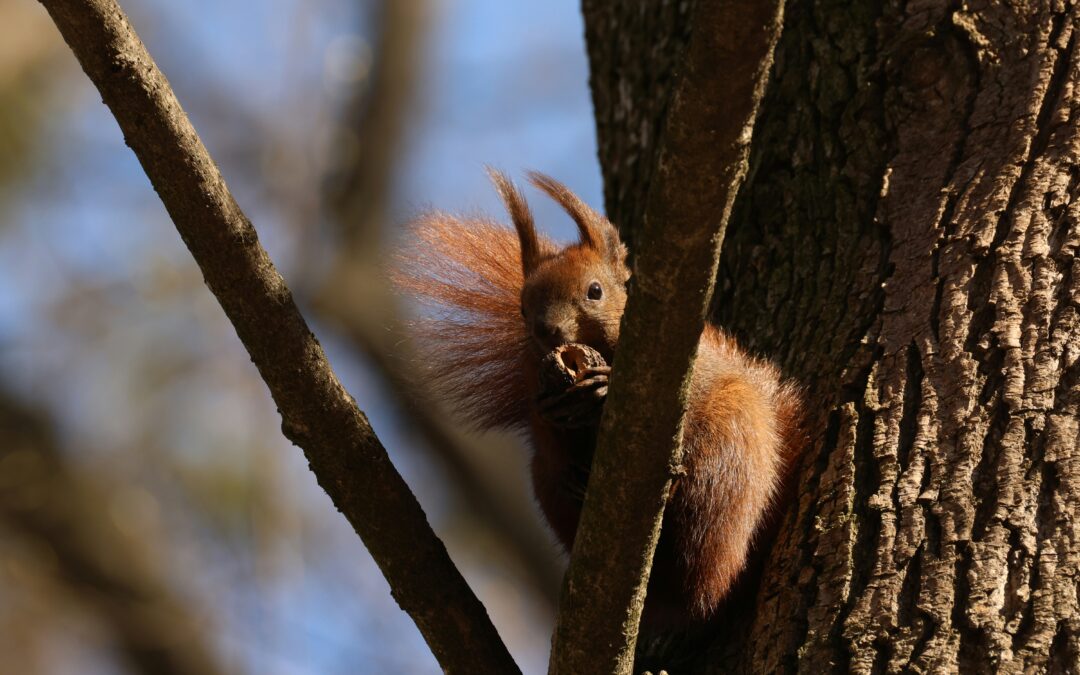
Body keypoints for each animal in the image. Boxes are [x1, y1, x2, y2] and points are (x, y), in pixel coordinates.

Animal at [394, 170, 804, 629]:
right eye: (522, 307)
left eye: (595, 291)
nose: (546, 329)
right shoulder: (534, 376)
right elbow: (544, 426)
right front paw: (557, 411)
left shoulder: (689, 369)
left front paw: (602, 386)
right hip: (545, 484)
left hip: (730, 444)